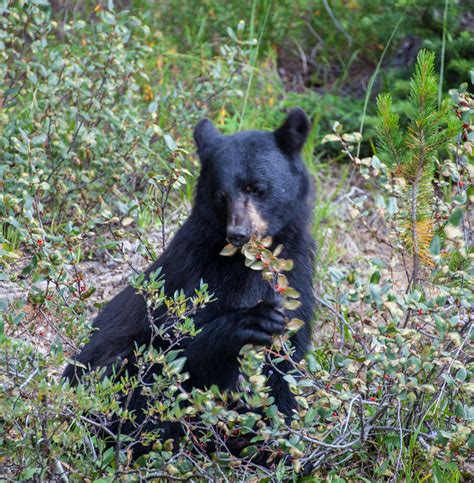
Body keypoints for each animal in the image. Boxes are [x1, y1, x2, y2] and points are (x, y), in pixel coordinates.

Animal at [63, 108, 314, 456]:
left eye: (256, 187)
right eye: (221, 195)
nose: (238, 234)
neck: (247, 264)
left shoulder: (296, 274)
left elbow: (287, 364)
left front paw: (280, 446)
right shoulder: (193, 274)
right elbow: (181, 343)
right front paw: (250, 321)